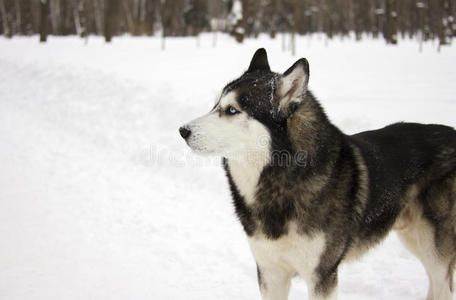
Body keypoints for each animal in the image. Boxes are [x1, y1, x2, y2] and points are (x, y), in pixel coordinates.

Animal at [179, 48, 456, 298]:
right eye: (215, 104)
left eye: (232, 110)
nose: (182, 131)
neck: (280, 179)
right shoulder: (270, 273)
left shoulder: (322, 276)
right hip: (415, 240)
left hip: (434, 251)